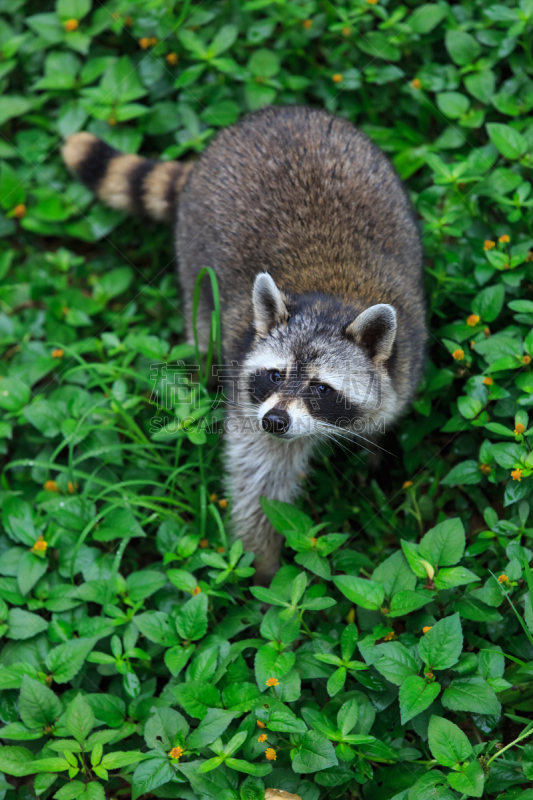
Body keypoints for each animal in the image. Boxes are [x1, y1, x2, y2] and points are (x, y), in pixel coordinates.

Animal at [63, 104, 428, 580]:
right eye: (274, 375)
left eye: (320, 388)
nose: (274, 421)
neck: (330, 302)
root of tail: (269, 114)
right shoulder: (248, 399)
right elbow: (260, 483)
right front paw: (266, 572)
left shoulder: (405, 363)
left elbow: (383, 424)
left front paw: (379, 456)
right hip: (194, 256)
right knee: (201, 329)